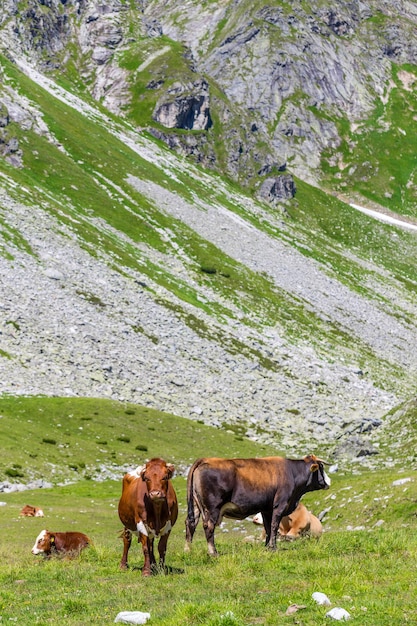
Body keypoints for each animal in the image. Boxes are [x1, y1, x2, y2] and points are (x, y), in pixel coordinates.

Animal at [184, 450, 330, 552]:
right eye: (321, 467)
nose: (328, 482)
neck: (292, 473)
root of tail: (206, 460)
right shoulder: (279, 505)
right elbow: (274, 526)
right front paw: (273, 548)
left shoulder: (266, 509)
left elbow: (267, 527)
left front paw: (267, 547)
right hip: (213, 507)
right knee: (208, 526)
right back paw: (213, 552)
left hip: (196, 505)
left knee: (191, 523)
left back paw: (188, 550)